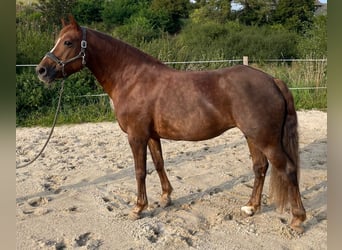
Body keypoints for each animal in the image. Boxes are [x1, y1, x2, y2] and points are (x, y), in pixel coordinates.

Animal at [37, 17, 308, 232]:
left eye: (68, 42)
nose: (42, 71)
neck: (132, 79)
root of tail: (272, 80)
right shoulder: (152, 135)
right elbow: (159, 164)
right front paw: (166, 197)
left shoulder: (136, 136)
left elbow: (139, 171)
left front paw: (138, 208)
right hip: (252, 137)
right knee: (260, 167)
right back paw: (251, 207)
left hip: (266, 140)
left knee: (288, 169)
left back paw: (297, 219)